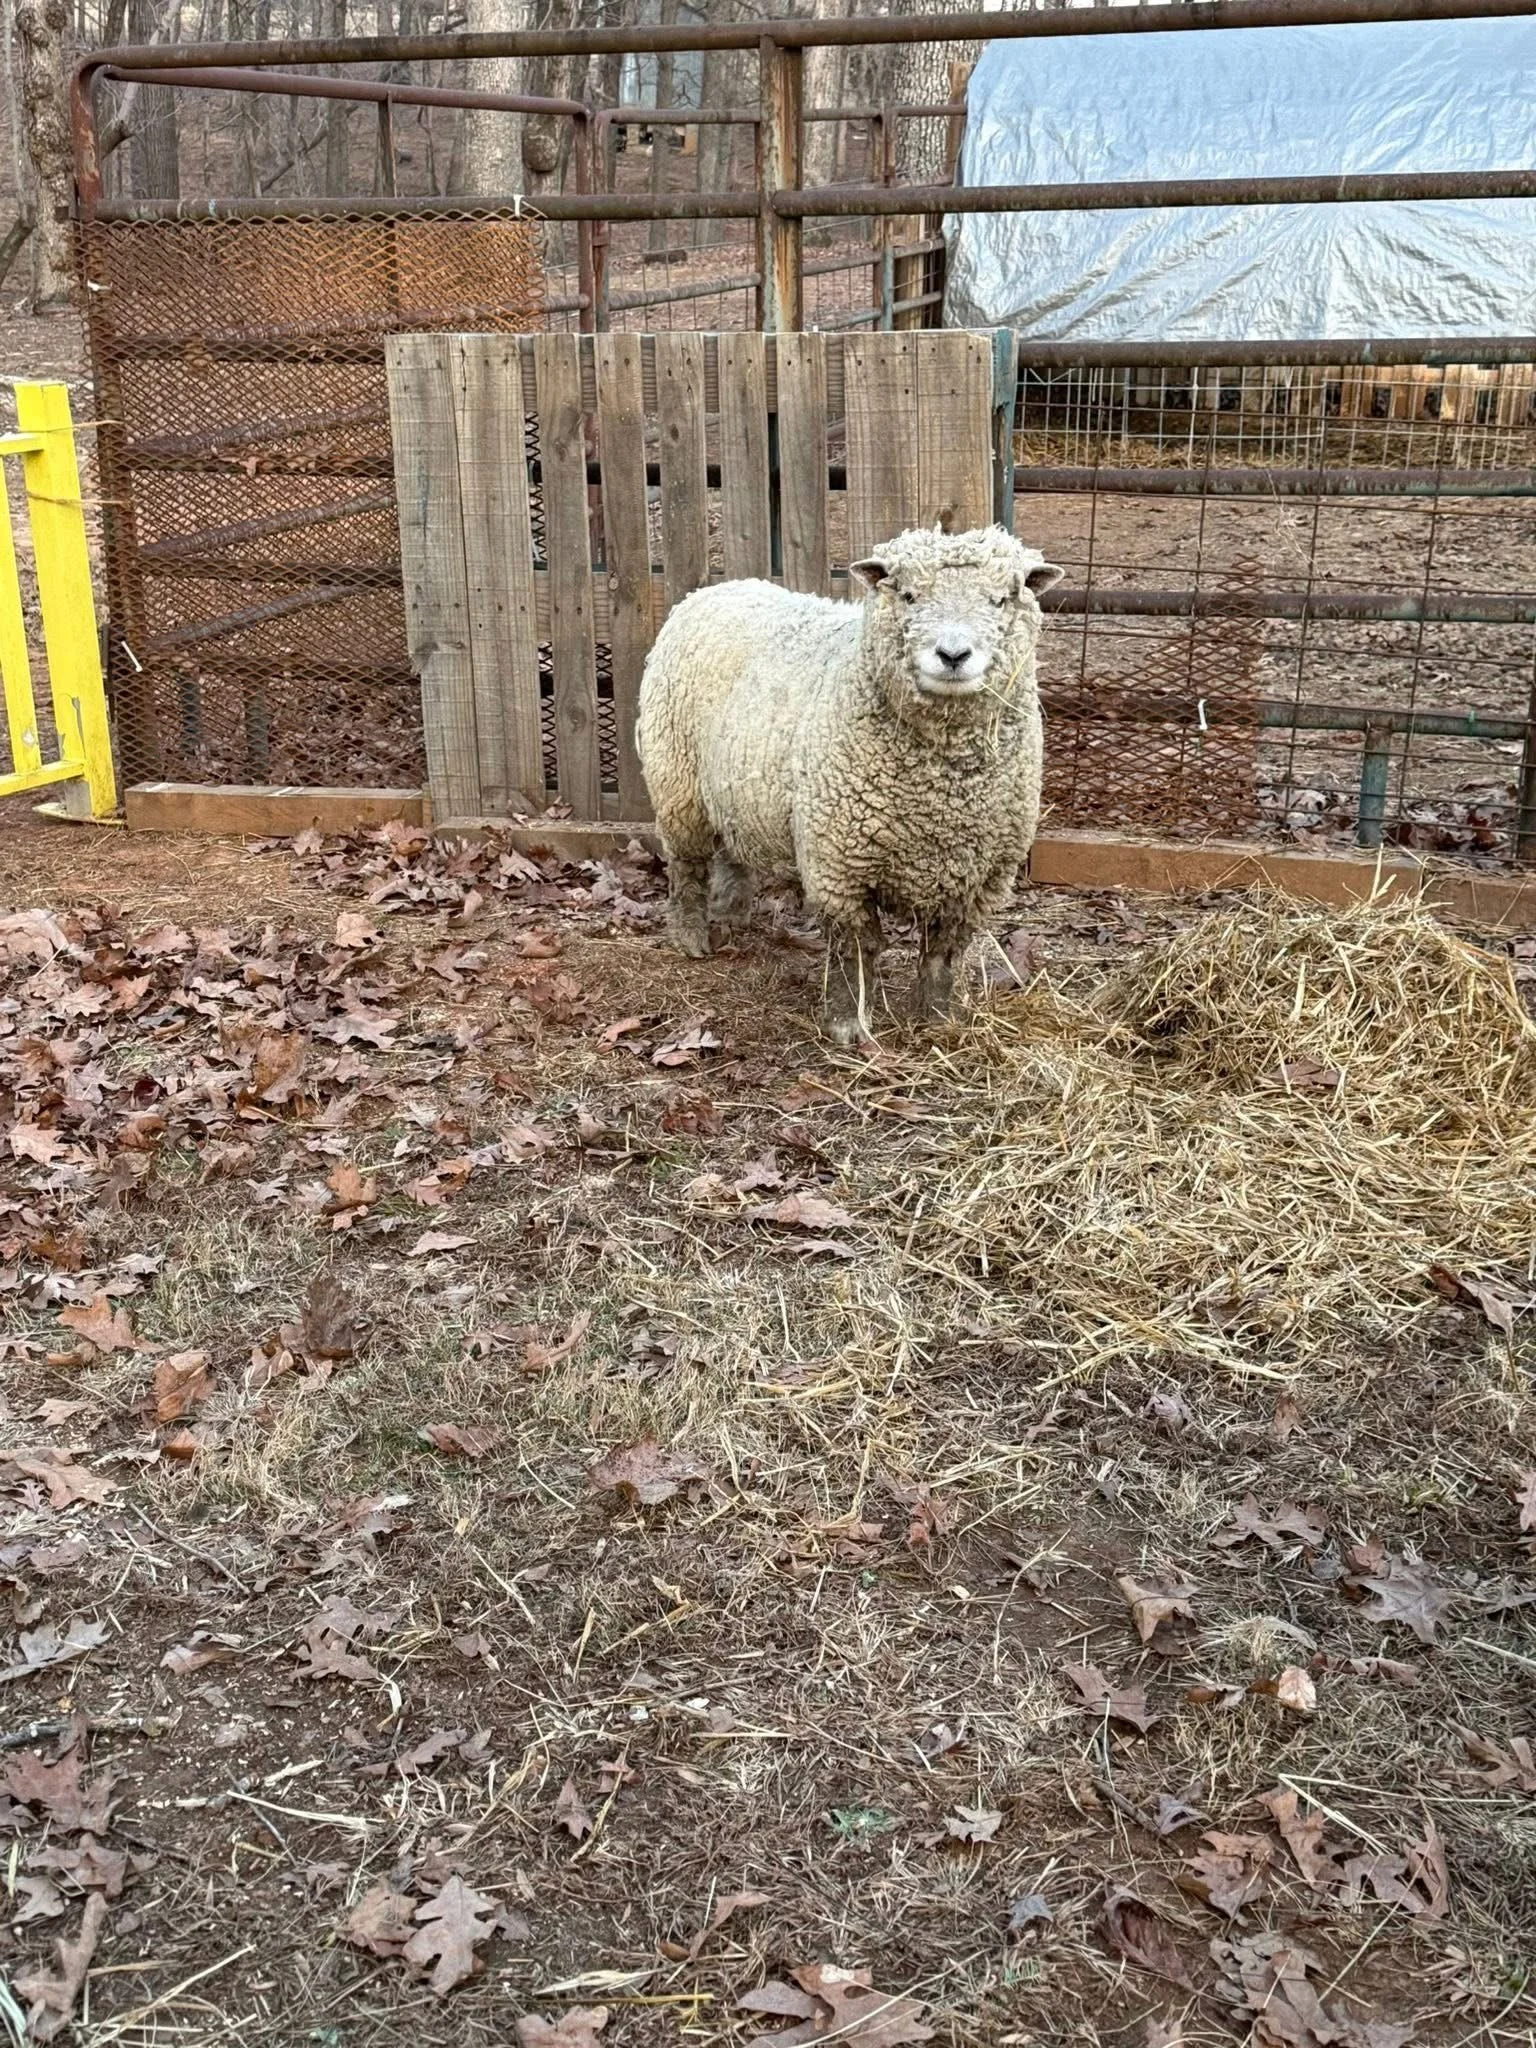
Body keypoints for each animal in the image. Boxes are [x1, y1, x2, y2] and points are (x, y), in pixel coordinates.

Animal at [635, 522, 1064, 1046]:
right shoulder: (839, 864)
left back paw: (731, 914)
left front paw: (936, 1020)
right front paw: (847, 1024)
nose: (953, 655)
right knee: (687, 866)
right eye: (908, 595)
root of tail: (716, 588)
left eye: (1001, 599)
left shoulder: (979, 877)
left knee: (734, 851)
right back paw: (692, 936)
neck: (938, 791)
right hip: (677, 783)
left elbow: (942, 952)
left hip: (738, 787)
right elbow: (854, 948)